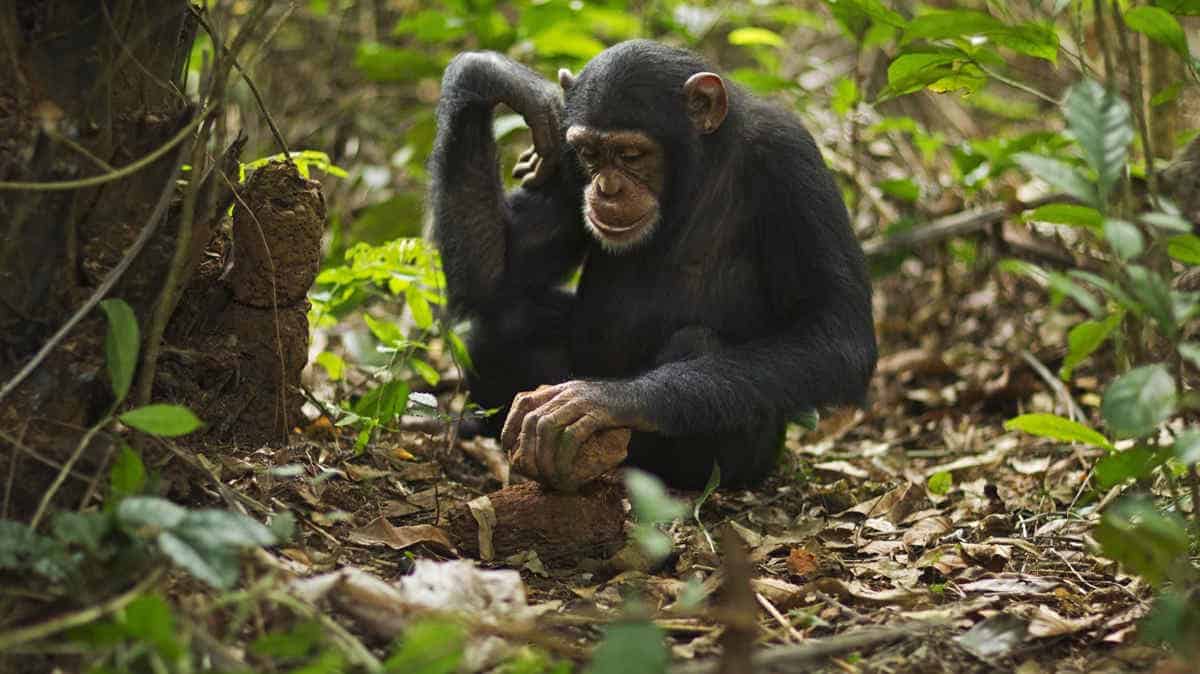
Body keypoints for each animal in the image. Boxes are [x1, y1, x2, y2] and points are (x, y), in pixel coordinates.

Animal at [427, 39, 878, 486]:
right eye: (590, 153)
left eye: (631, 154)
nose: (606, 189)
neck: (697, 173)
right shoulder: (563, 160)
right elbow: (497, 278)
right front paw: (499, 77)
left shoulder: (791, 162)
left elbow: (836, 334)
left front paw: (608, 399)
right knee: (501, 319)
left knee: (696, 342)